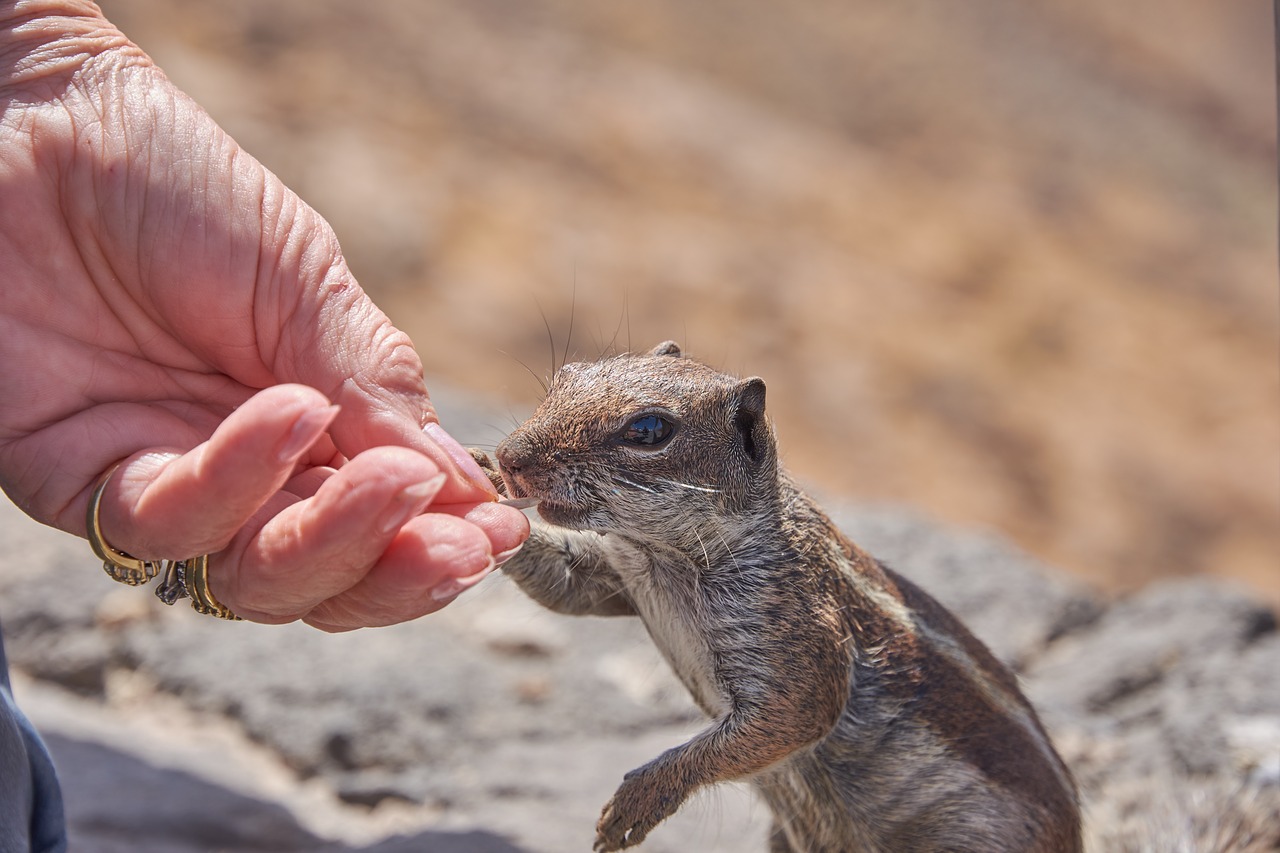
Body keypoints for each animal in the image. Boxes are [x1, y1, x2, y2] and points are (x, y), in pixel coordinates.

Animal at [478, 340, 1080, 850]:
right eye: (566, 373)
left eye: (648, 430)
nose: (511, 457)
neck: (663, 560)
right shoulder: (614, 575)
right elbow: (566, 590)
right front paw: (480, 483)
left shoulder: (799, 635)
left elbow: (794, 716)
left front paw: (636, 801)